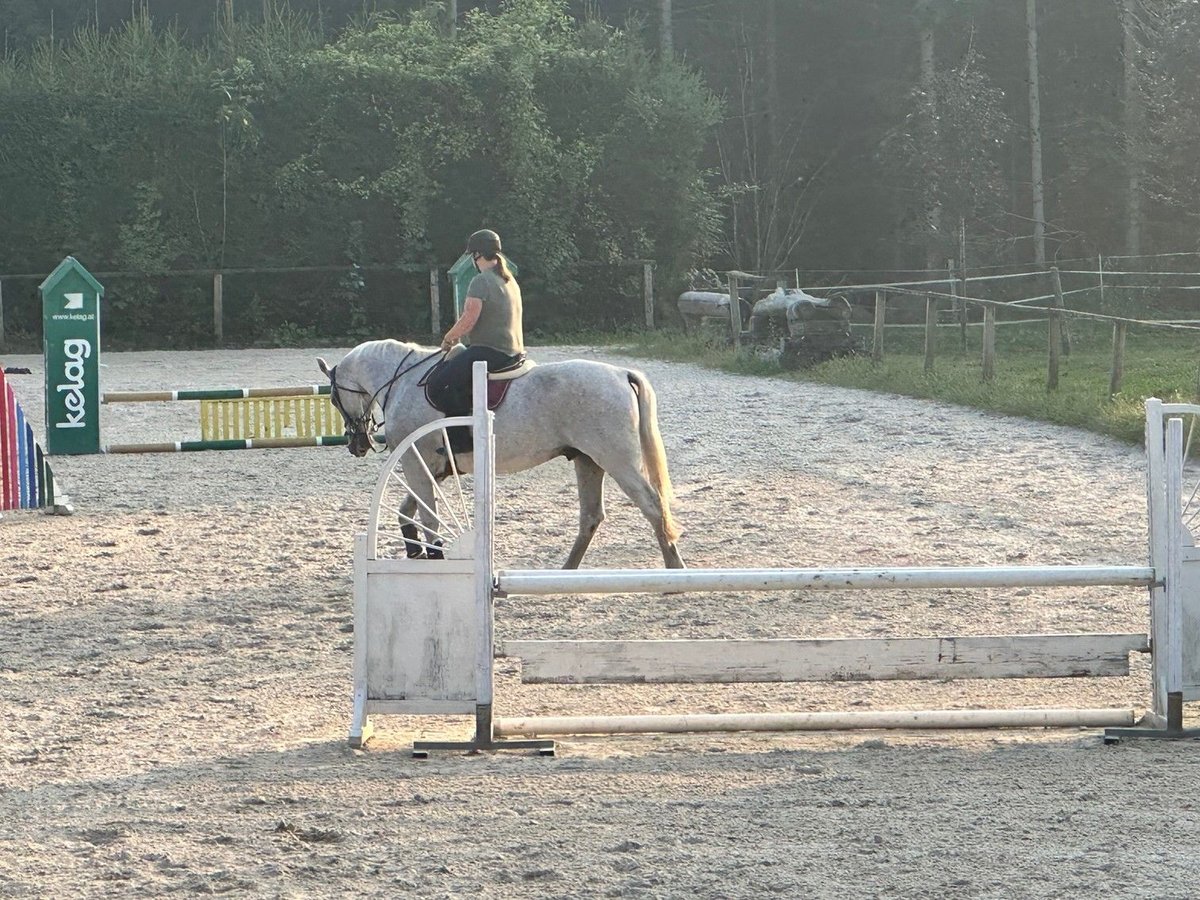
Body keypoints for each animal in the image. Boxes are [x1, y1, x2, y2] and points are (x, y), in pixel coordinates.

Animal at [316, 340, 686, 571]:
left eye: (333, 399)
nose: (357, 444)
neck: (402, 382)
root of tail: (621, 373)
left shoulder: (416, 463)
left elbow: (426, 515)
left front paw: (431, 554)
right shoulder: (431, 467)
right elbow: (407, 511)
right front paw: (414, 549)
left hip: (616, 460)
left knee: (652, 507)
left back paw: (674, 571)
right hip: (588, 460)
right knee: (591, 517)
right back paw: (566, 571)